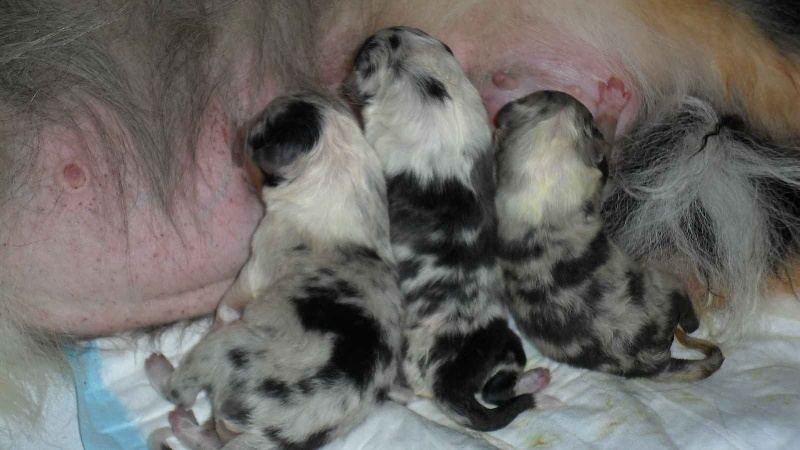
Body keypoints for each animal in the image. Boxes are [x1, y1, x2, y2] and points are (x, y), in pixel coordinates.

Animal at [143, 92, 404, 450]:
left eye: (254, 134)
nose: (238, 129)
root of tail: (269, 432)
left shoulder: (255, 264)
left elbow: (229, 301)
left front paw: (222, 314)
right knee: (205, 438)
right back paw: (184, 423)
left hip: (224, 349)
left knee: (180, 392)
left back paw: (161, 372)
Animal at [354, 25, 552, 432]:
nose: (367, 39)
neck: (434, 89)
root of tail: (451, 385)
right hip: (507, 344)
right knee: (499, 390)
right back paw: (538, 383)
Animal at [494, 90, 724, 380]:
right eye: (591, 122)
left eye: (542, 93)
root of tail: (655, 362)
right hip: (664, 280)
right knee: (687, 313)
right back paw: (691, 321)